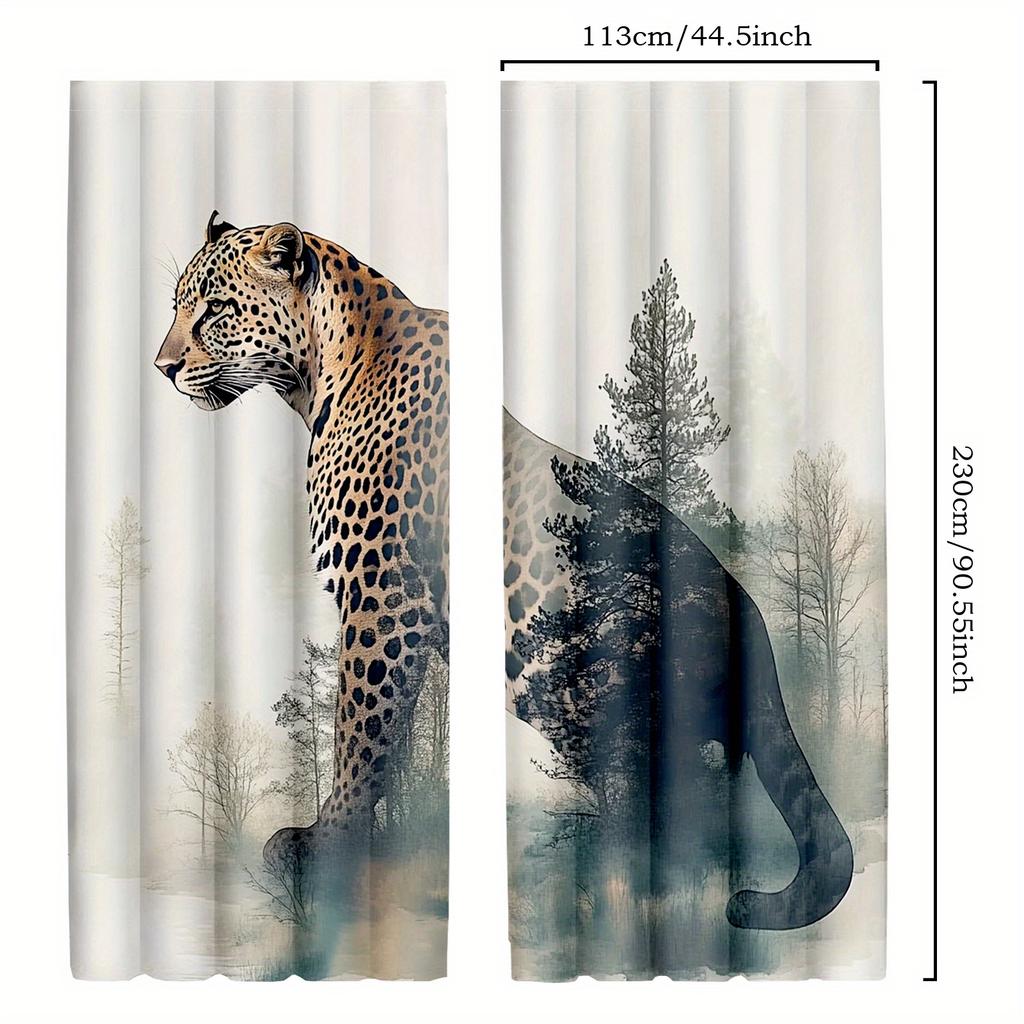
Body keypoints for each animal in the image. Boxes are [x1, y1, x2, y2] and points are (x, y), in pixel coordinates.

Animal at [156, 212, 448, 870]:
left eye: (214, 308)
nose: (162, 367)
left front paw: (330, 839)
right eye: (177, 306)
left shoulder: (385, 591)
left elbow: (360, 725)